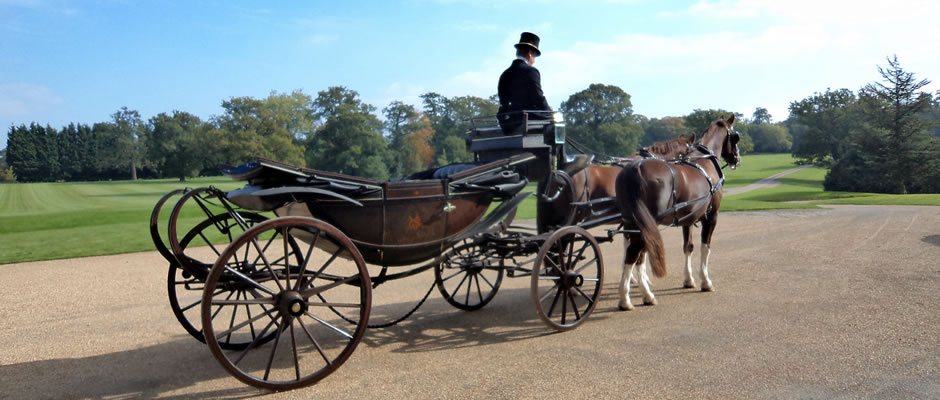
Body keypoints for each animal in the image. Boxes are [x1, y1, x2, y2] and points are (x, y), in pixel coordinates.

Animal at [616, 115, 740, 310]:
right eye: (735, 137)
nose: (737, 158)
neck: (705, 162)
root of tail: (634, 168)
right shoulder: (711, 216)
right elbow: (706, 247)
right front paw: (705, 281)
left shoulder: (688, 218)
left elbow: (688, 247)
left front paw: (689, 279)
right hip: (647, 223)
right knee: (634, 254)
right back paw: (629, 298)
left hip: (633, 223)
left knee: (635, 253)